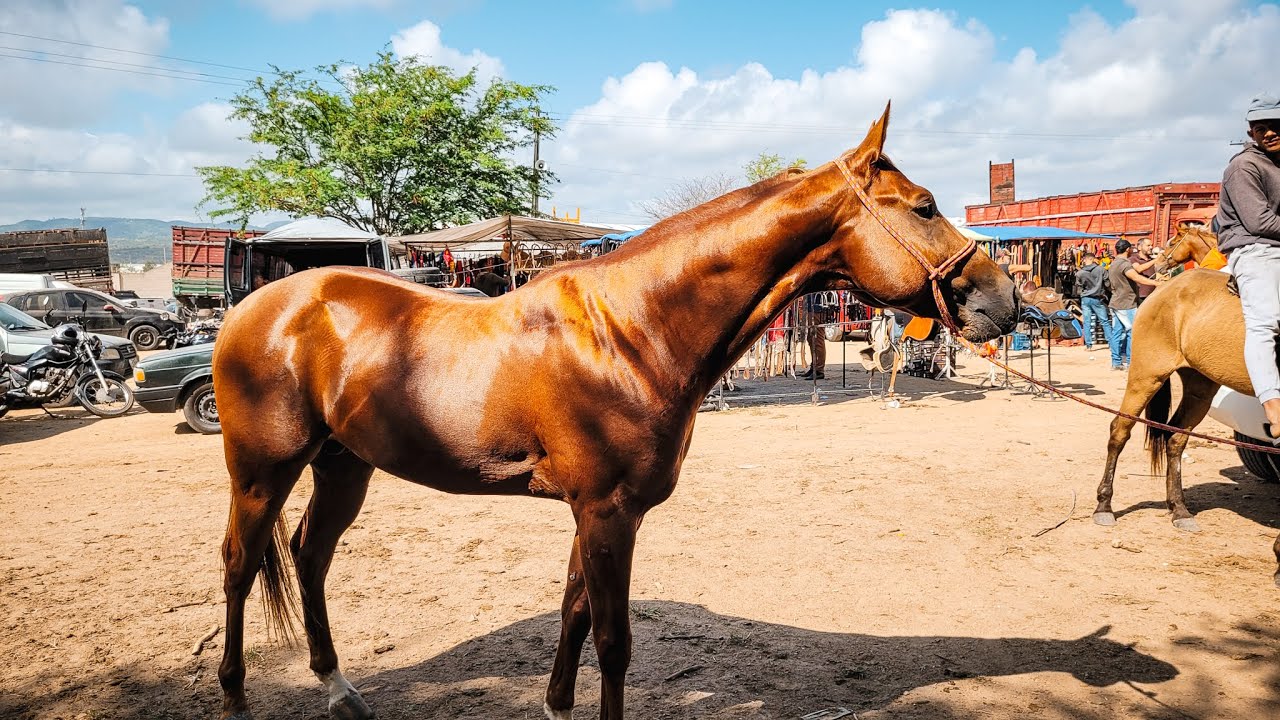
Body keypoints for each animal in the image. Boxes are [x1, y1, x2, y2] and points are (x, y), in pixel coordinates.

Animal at [211, 104, 1019, 720]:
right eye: (924, 206)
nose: (1005, 300)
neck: (631, 329)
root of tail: (257, 306)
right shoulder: (607, 511)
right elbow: (612, 641)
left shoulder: (593, 511)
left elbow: (573, 615)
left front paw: (554, 705)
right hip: (261, 473)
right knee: (240, 566)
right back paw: (236, 695)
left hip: (343, 465)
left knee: (310, 556)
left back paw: (337, 687)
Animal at [1090, 265, 1280, 584]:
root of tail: (1167, 287)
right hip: (1147, 375)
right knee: (1119, 431)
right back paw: (1104, 505)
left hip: (1200, 385)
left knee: (1175, 439)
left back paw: (1178, 509)